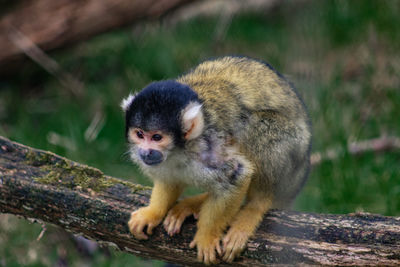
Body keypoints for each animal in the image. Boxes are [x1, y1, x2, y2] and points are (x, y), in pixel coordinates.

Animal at [122, 55, 312, 264]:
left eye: (157, 137)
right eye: (140, 134)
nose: (145, 152)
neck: (179, 150)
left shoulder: (209, 147)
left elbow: (238, 173)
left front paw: (207, 236)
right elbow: (169, 179)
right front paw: (153, 212)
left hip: (294, 155)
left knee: (255, 125)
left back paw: (255, 207)